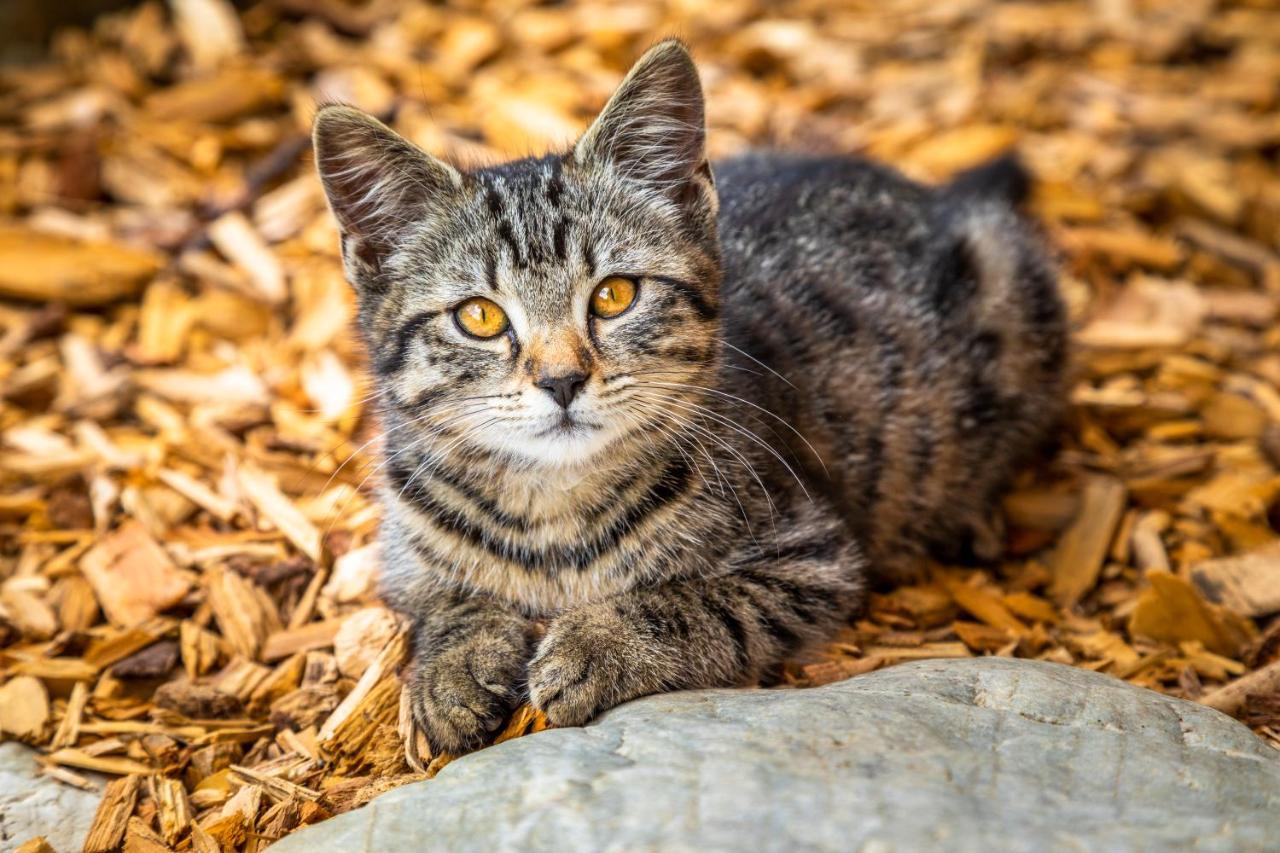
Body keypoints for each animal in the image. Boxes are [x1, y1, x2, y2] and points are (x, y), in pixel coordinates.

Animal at [312, 39, 1070, 747]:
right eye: (479, 316)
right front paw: (453, 667)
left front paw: (597, 643)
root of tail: (934, 196)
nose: (561, 379)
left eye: (615, 295)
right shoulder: (401, 553)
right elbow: (439, 599)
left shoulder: (813, 558)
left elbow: (694, 603)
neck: (552, 516)